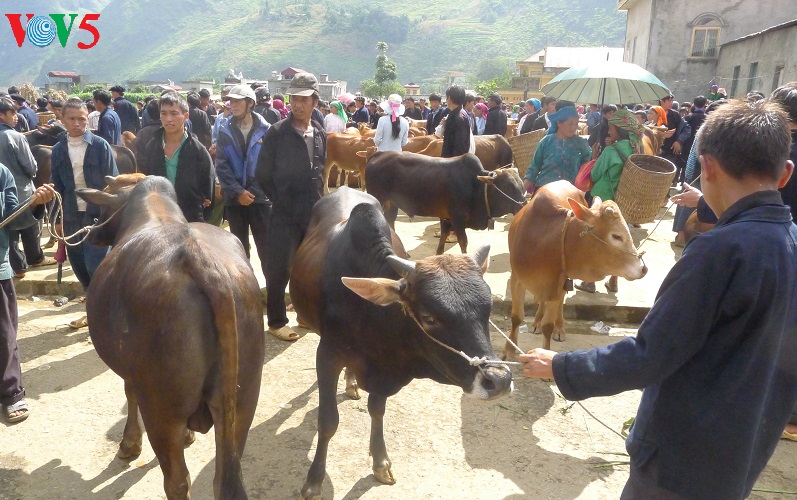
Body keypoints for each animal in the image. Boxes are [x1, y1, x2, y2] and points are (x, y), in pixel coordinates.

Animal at [75, 174, 264, 499]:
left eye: (104, 205)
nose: (94, 233)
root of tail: (195, 256)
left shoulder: (131, 372)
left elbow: (129, 393)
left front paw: (129, 444)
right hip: (242, 402)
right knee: (225, 479)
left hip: (161, 409)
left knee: (177, 481)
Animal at [295, 200, 512, 500]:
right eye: (429, 318)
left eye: (488, 309)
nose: (499, 380)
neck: (370, 313)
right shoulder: (327, 356)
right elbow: (328, 421)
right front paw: (314, 482)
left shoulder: (385, 370)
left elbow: (377, 410)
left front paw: (380, 462)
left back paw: (351, 383)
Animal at [365, 151, 526, 254]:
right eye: (507, 186)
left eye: (521, 185)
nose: (523, 205)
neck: (476, 186)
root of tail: (379, 154)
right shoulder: (458, 219)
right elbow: (463, 242)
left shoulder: (446, 218)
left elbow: (443, 236)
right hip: (378, 198)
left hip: (392, 204)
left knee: (390, 222)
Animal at [505, 180, 648, 356]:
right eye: (616, 236)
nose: (643, 268)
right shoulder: (517, 279)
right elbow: (516, 317)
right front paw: (509, 350)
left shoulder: (558, 284)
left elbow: (548, 326)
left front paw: (545, 352)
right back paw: (537, 321)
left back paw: (559, 328)